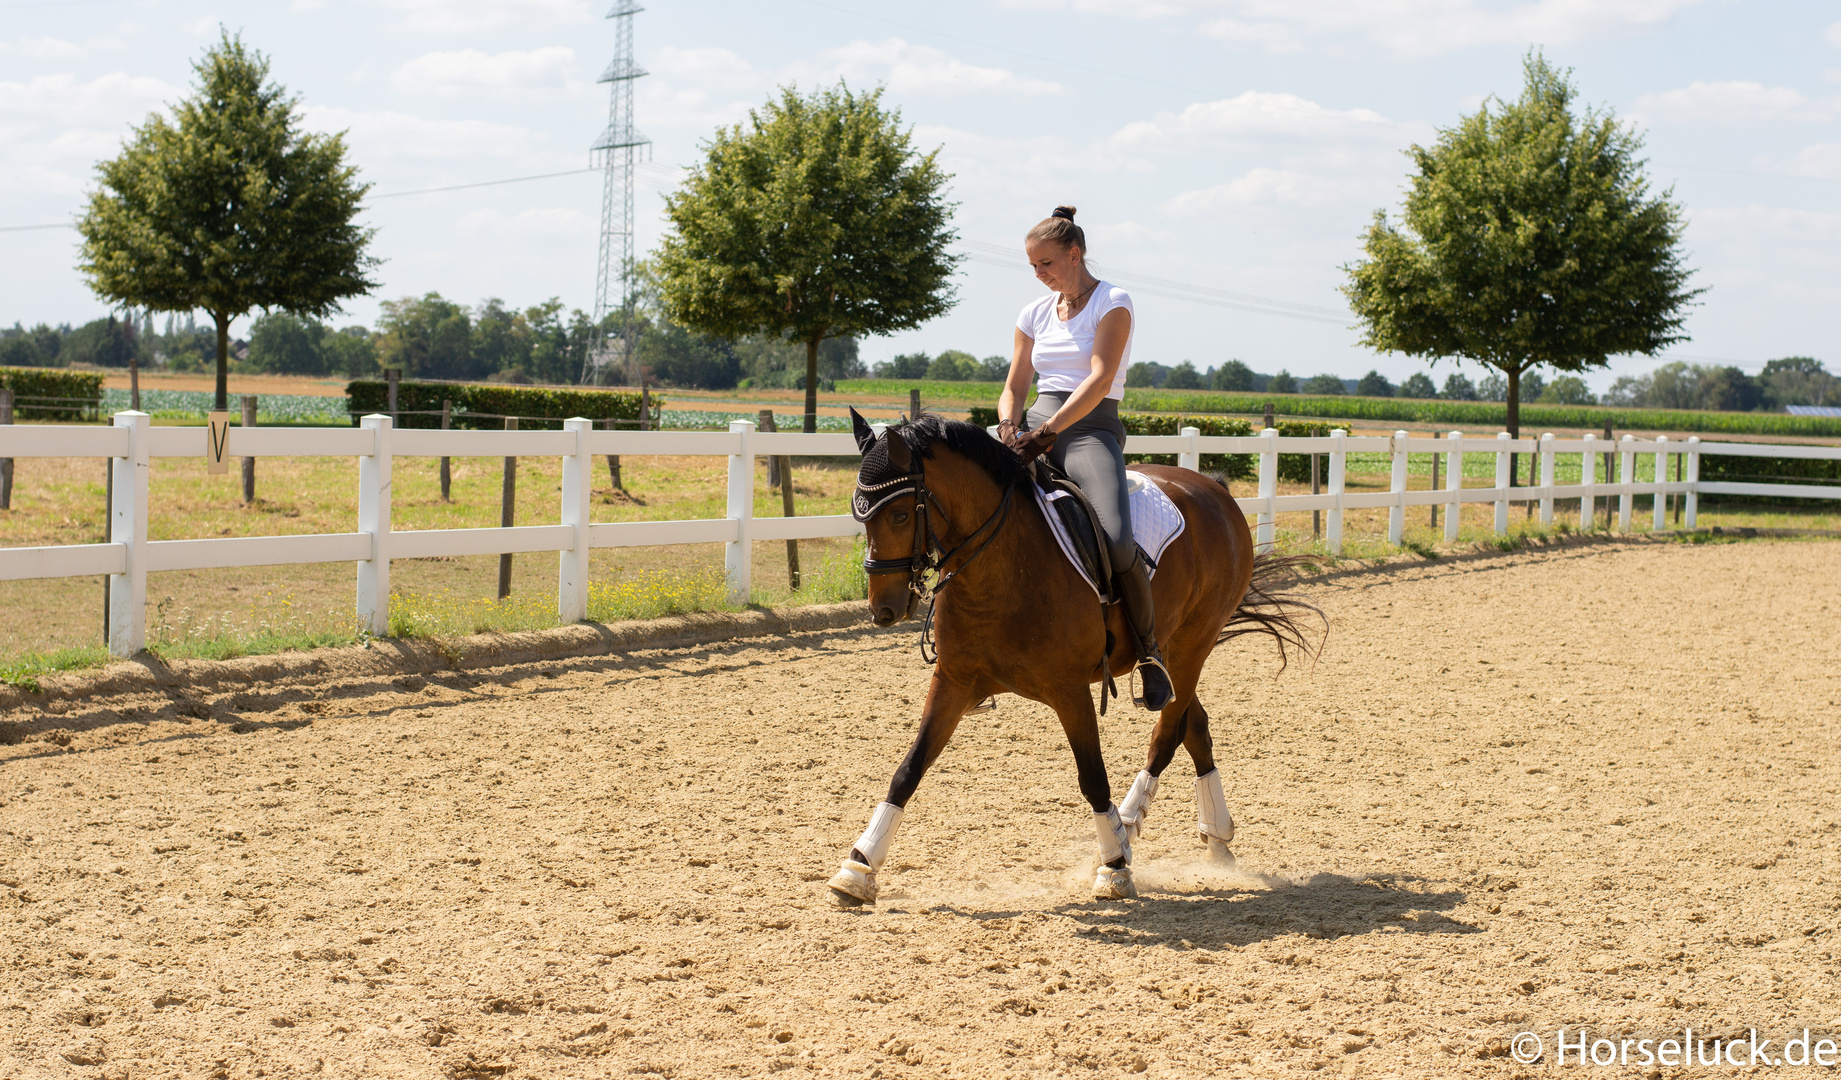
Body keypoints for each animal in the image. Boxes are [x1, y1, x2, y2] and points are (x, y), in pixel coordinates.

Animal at [835, 412, 1325, 905]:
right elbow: (909, 769)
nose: (883, 610)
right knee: (1194, 725)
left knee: (1168, 734)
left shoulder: (1069, 690)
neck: (1004, 564)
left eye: (900, 514)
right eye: (861, 517)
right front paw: (858, 867)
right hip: (1174, 652)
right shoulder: (953, 681)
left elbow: (1092, 777)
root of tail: (1215, 488)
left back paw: (1126, 827)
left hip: (1193, 642)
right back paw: (1213, 836)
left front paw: (1114, 867)